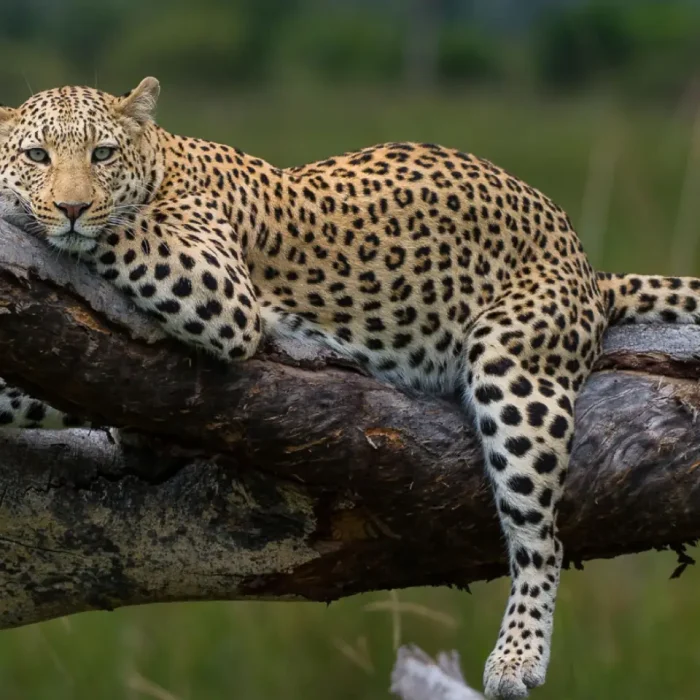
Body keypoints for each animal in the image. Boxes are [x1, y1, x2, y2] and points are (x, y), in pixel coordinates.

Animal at [1, 78, 699, 699]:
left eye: (102, 155)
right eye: (38, 155)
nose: (70, 207)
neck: (161, 161)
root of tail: (586, 264)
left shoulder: (218, 287)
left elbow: (120, 228)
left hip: (512, 360)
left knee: (539, 536)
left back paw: (517, 656)